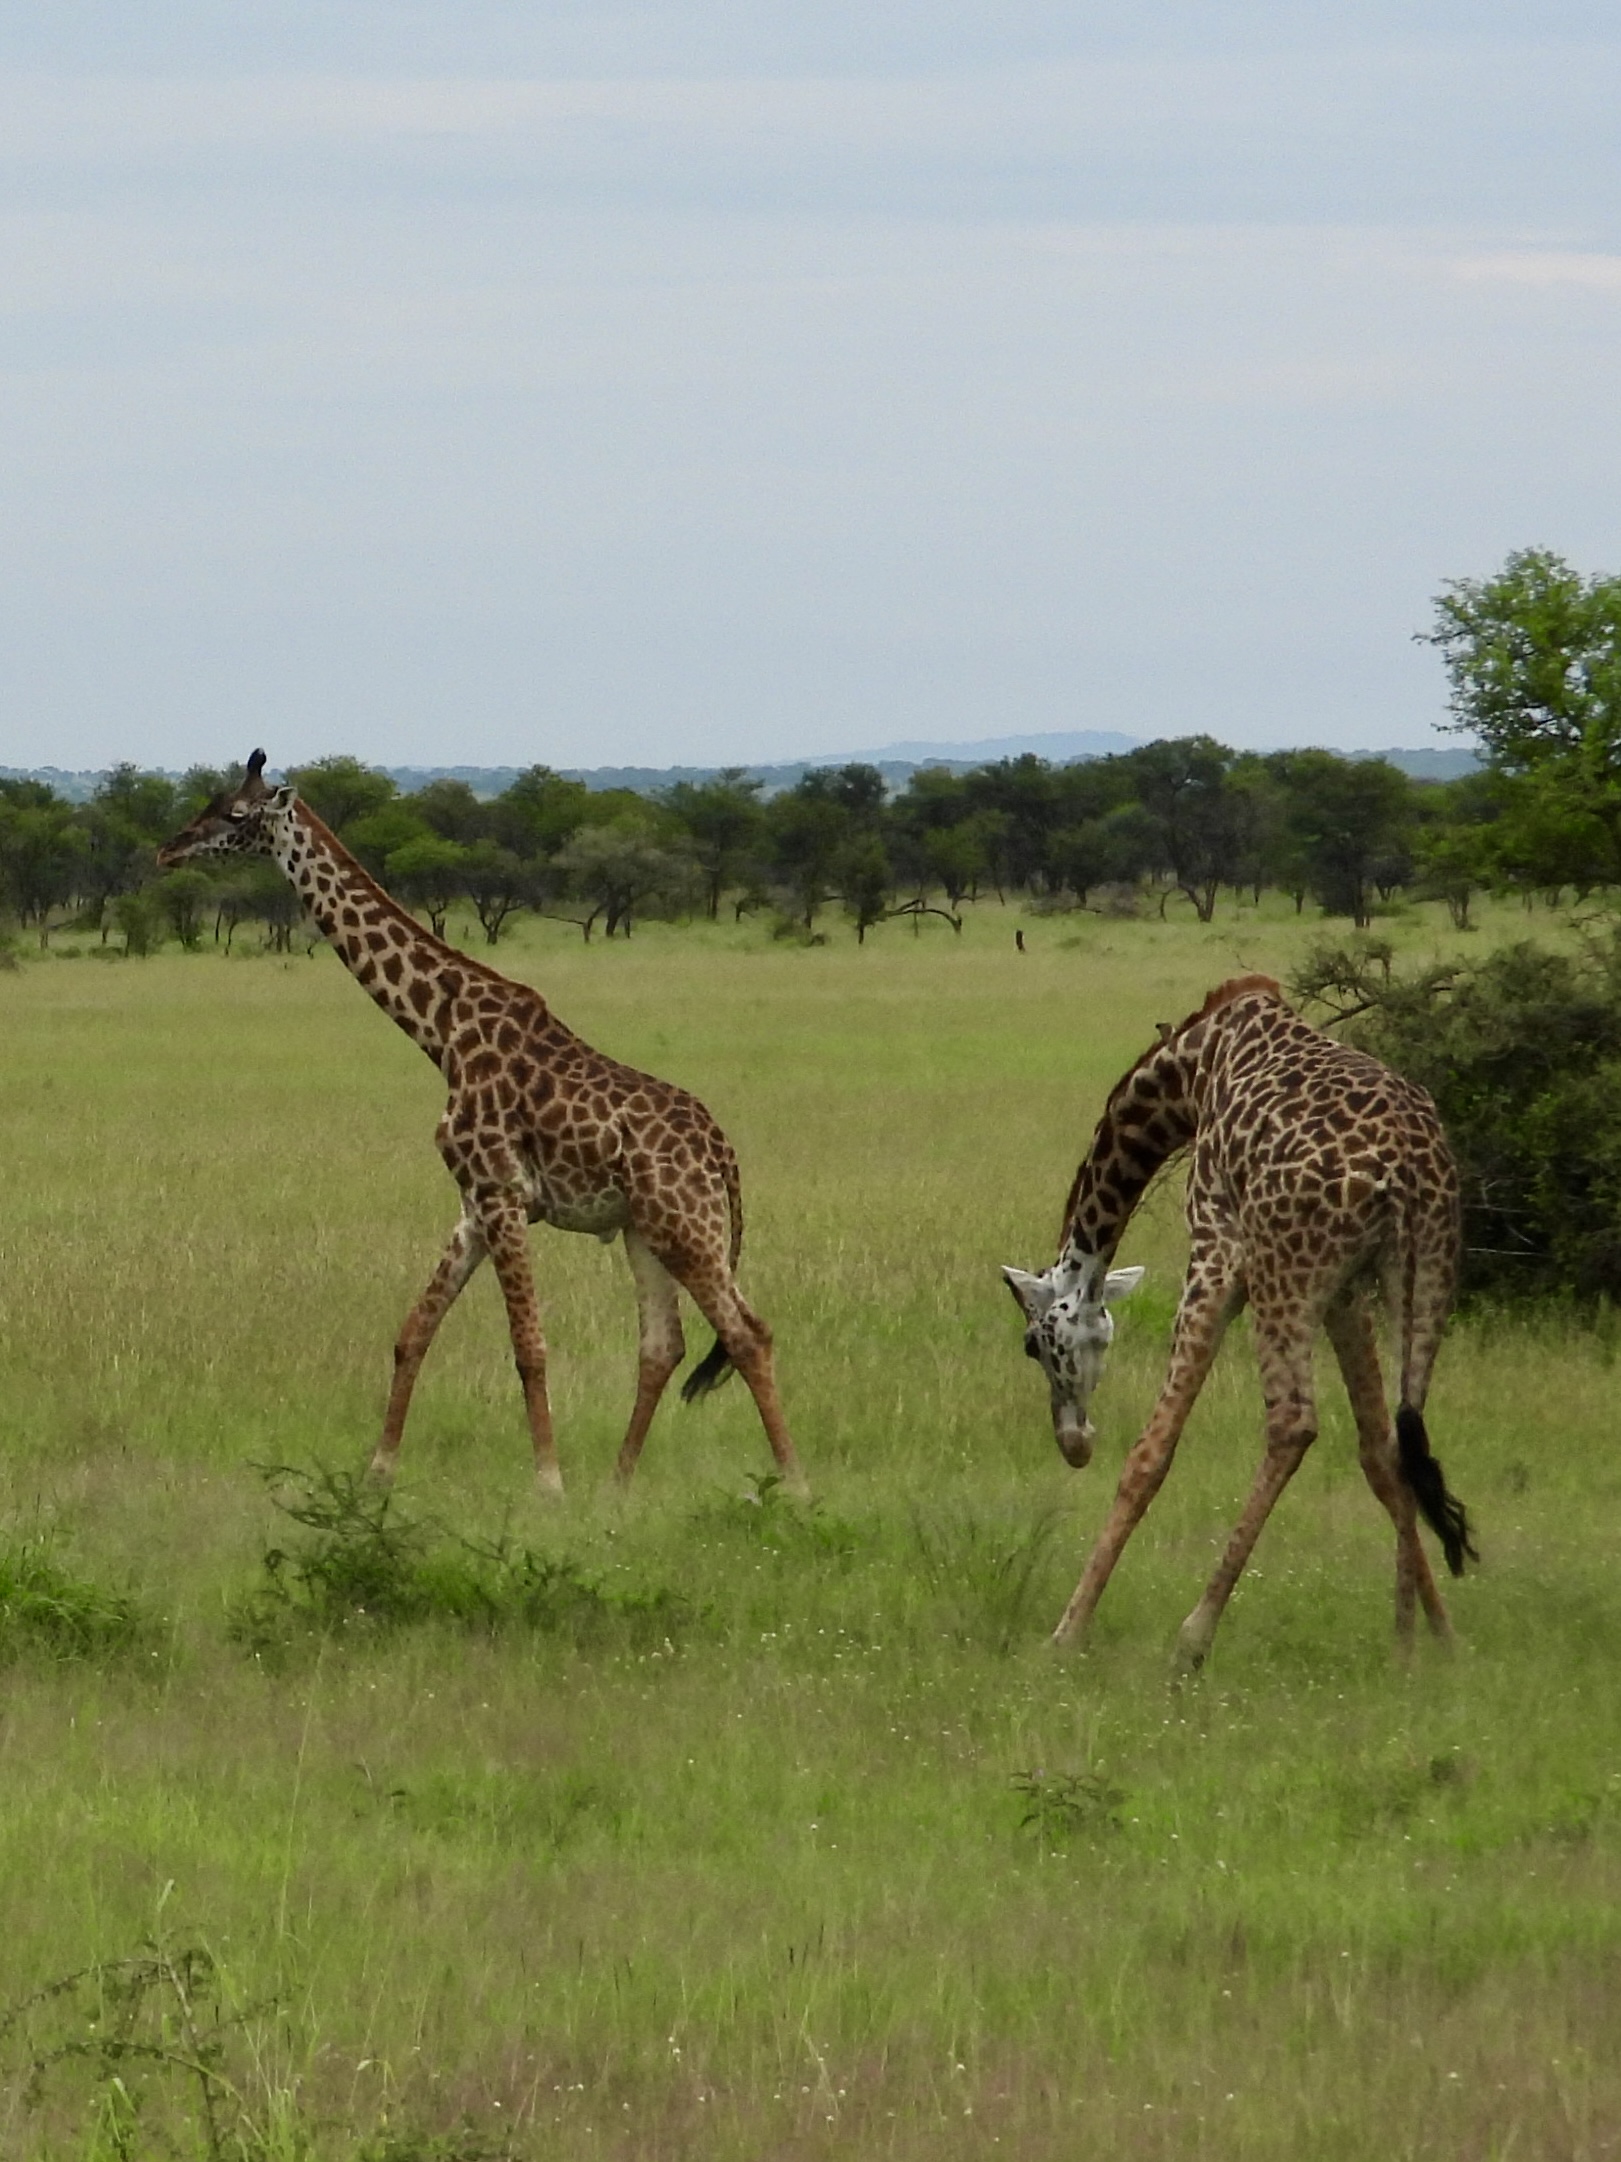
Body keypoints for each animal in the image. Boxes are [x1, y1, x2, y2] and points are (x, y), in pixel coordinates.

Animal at [157, 751, 806, 1499]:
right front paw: (378, 1471)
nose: (167, 849)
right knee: (662, 1345)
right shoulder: (472, 1201)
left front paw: (548, 1482)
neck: (443, 1034)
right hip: (646, 1229)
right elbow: (413, 1331)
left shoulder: (502, 1193)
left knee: (748, 1333)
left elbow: (528, 1346)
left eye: (235, 814)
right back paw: (617, 1486)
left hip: (688, 1226)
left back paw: (793, 1485)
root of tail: (722, 1150)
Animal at [1003, 974, 1474, 1670]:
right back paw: (1409, 1642)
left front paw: (1067, 1631)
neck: (1190, 1070)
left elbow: (1150, 1452)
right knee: (1408, 1428)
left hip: (1286, 1267)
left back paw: (1193, 1638)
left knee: (1292, 1423)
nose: (1074, 1444)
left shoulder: (1218, 1248)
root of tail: (1408, 1172)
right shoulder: (1346, 1289)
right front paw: (1433, 1638)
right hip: (1424, 1273)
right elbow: (1380, 1452)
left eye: (1034, 1345)